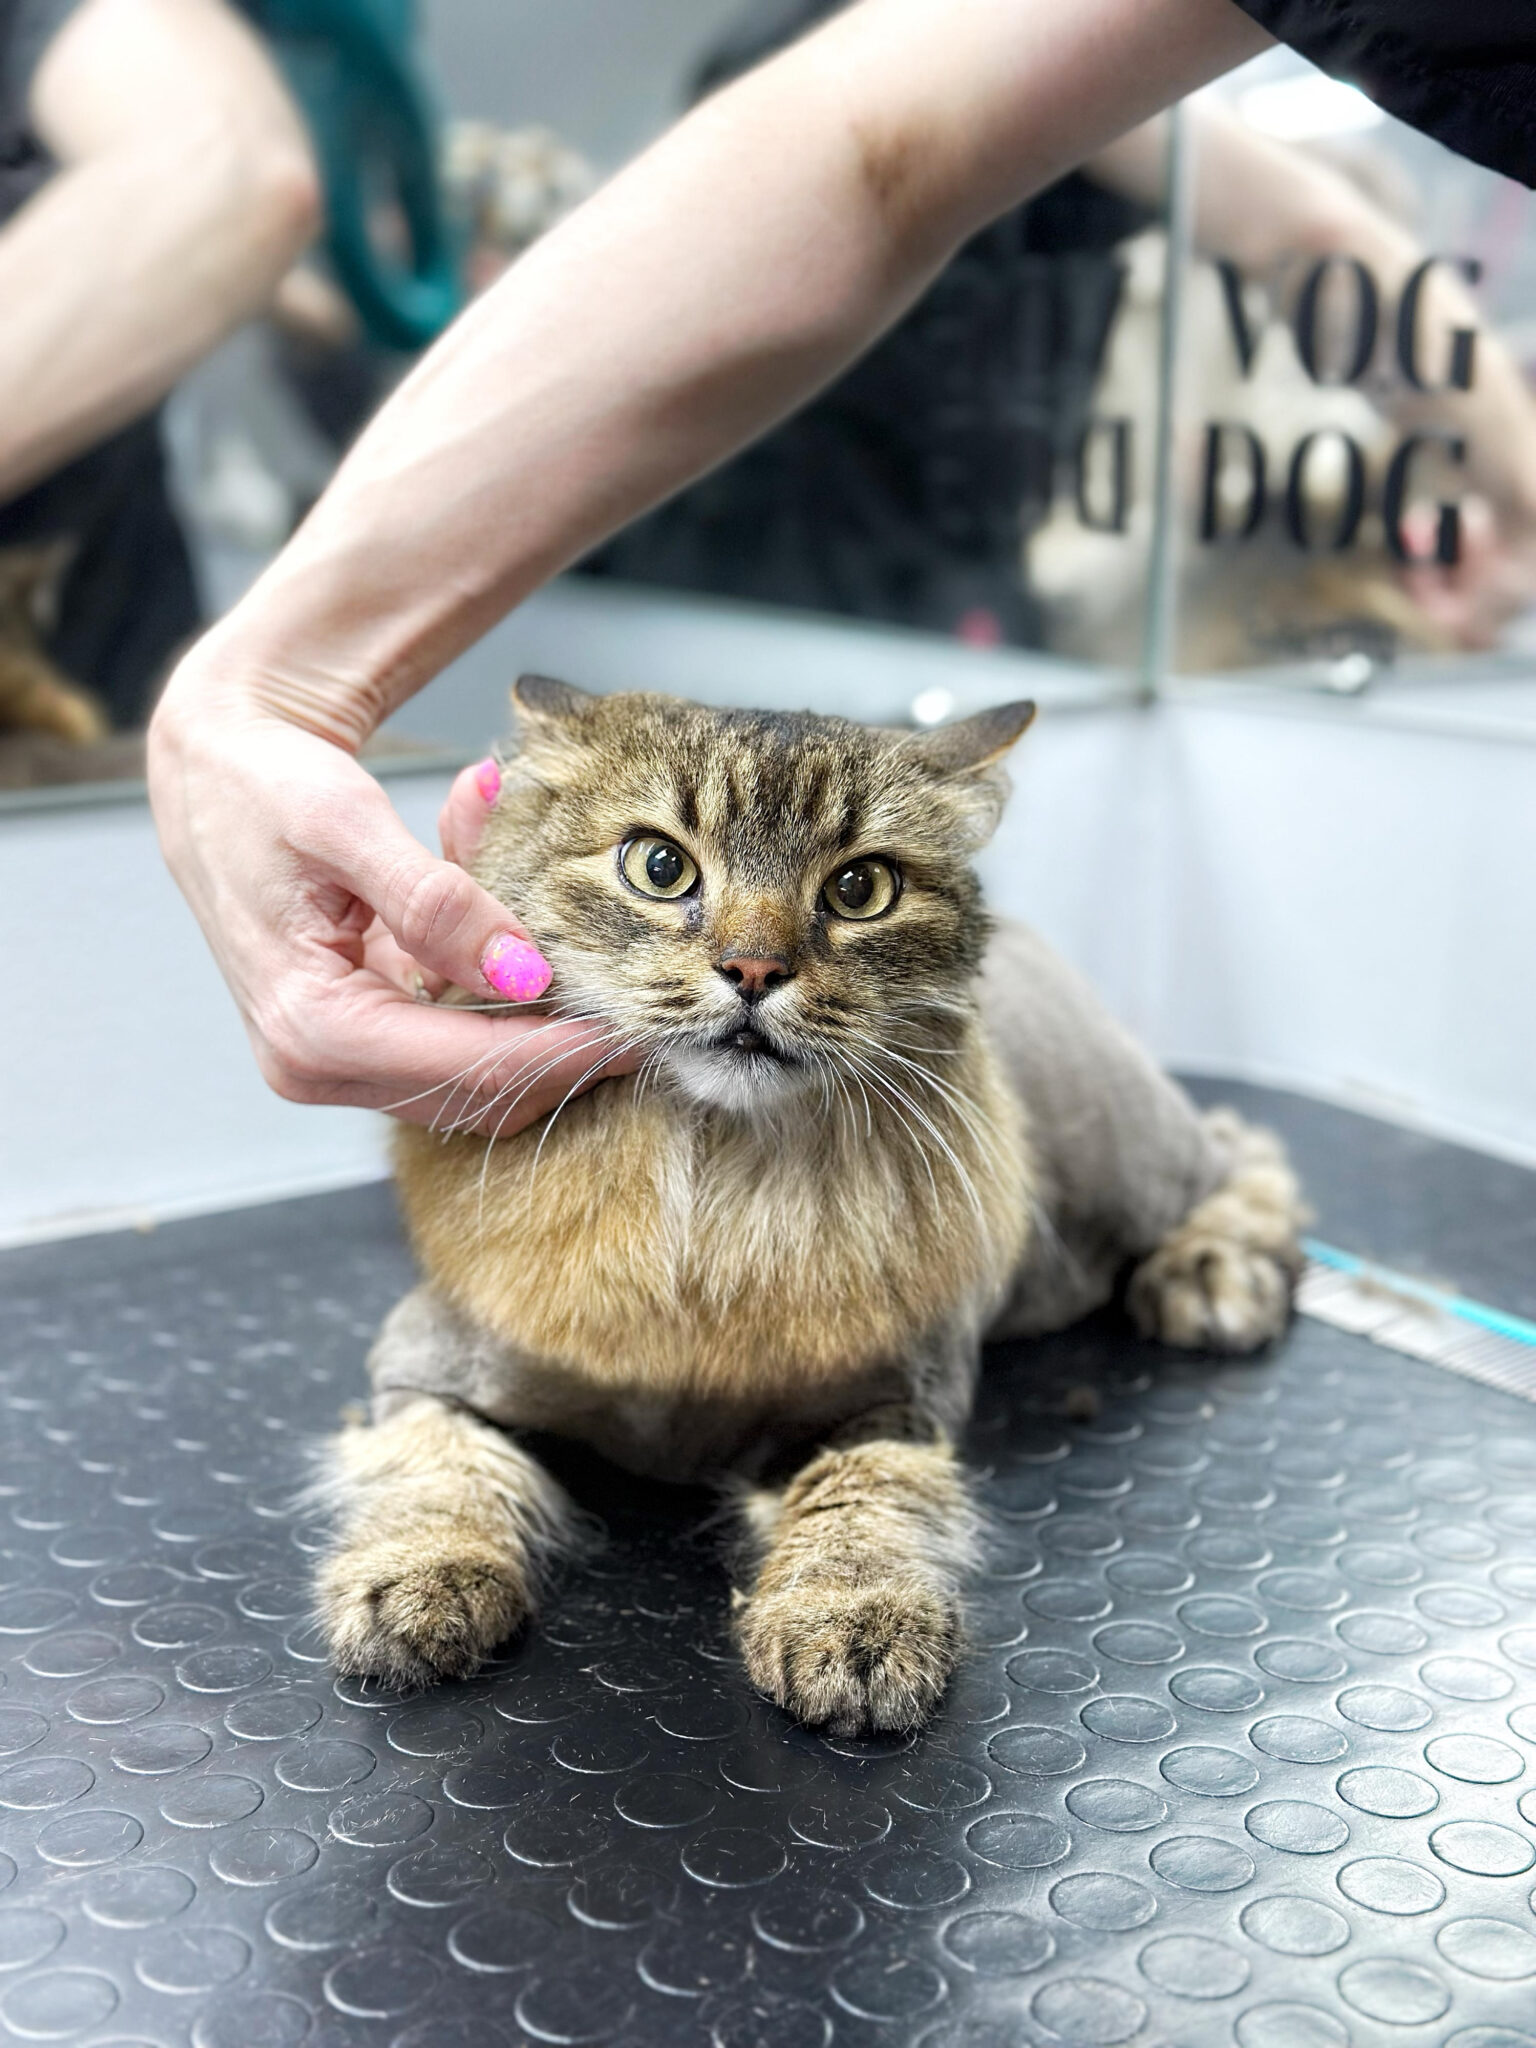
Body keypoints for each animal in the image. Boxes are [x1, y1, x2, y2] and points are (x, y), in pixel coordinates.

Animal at [315, 679, 1310, 1736]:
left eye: (860, 890)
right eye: (659, 866)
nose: (753, 971)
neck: (711, 1181)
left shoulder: (896, 1402)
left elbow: (861, 1506)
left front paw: (855, 1623)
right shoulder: (420, 1368)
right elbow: (440, 1471)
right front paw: (420, 1579)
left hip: (1130, 1155)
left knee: (1245, 1151)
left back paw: (1213, 1276)